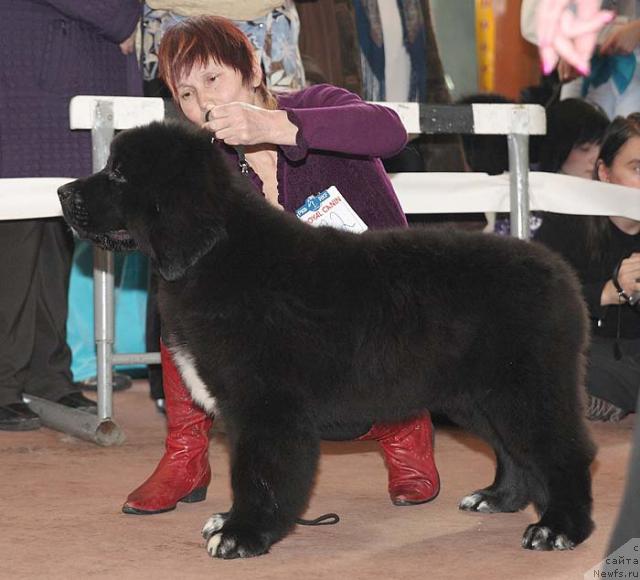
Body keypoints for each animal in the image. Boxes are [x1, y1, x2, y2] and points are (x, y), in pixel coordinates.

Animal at [58, 121, 596, 556]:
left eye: (119, 174)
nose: (62, 192)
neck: (217, 255)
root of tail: (561, 272)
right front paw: (230, 522)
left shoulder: (266, 404)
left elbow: (258, 471)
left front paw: (242, 534)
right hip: (477, 396)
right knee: (514, 451)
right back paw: (497, 498)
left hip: (524, 388)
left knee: (563, 451)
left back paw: (558, 529)